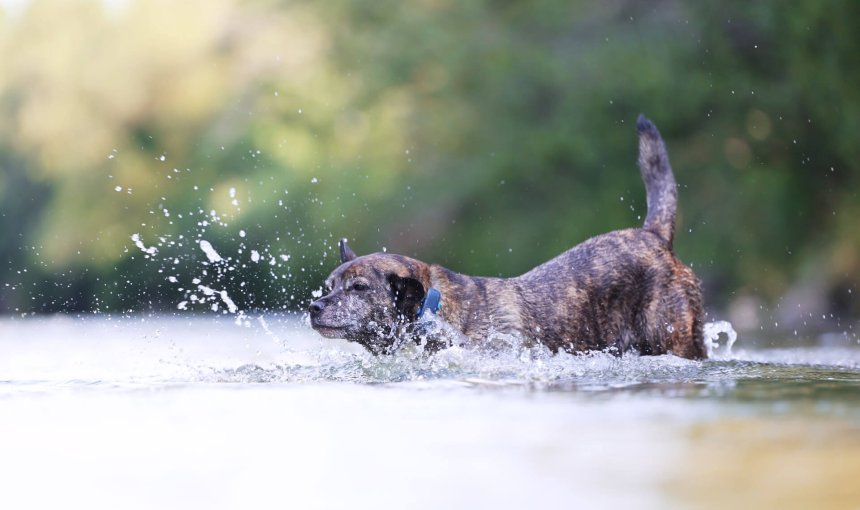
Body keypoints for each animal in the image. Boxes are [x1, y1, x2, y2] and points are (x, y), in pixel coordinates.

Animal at [310, 115, 704, 358]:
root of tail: (653, 235)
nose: (314, 308)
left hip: (678, 341)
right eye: (327, 287)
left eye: (358, 288)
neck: (433, 312)